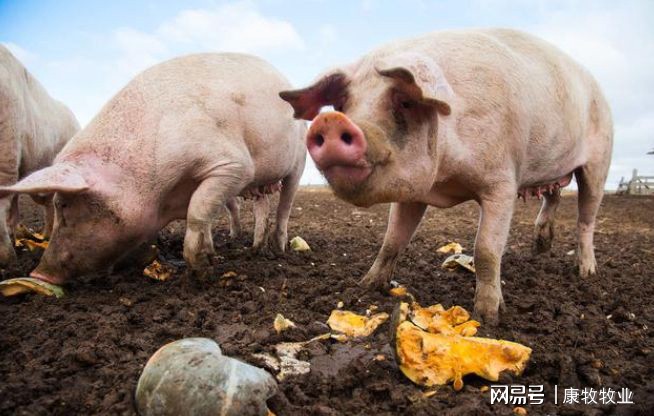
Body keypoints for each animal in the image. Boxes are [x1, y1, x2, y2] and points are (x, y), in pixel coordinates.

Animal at [280, 28, 616, 324]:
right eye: (342, 104)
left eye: (405, 101)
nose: (330, 121)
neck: (446, 178)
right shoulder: (414, 192)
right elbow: (392, 240)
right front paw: (365, 286)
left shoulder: (502, 182)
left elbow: (486, 250)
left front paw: (489, 317)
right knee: (553, 195)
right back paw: (539, 250)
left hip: (599, 162)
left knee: (586, 218)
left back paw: (587, 272)